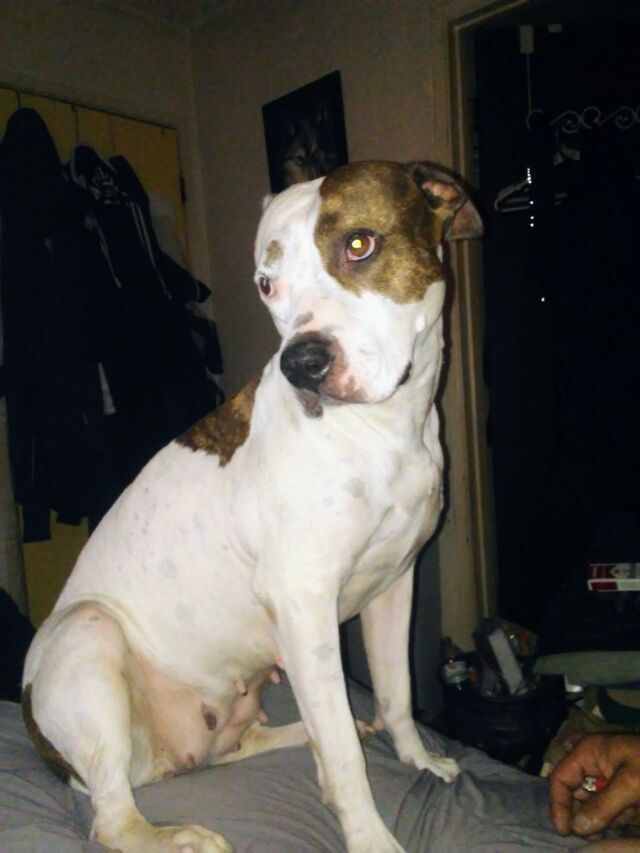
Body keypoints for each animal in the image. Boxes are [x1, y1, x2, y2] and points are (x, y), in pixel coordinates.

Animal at [22, 160, 482, 853]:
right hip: (89, 635)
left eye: (359, 244)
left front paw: (416, 758)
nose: (302, 363)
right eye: (267, 285)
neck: (383, 431)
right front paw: (369, 835)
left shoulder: (395, 585)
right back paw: (180, 836)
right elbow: (344, 758)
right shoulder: (304, 605)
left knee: (251, 739)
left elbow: (395, 693)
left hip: (242, 691)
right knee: (111, 819)